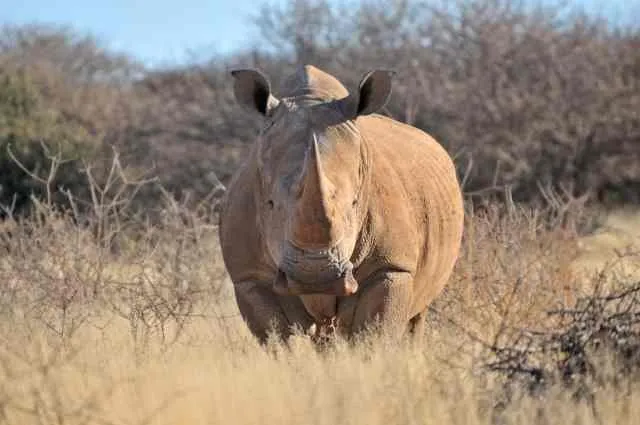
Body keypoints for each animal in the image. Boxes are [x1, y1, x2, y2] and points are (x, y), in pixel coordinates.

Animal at [219, 65, 464, 343]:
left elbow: (373, 336)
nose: (315, 278)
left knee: (417, 315)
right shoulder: (250, 277)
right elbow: (280, 338)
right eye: (269, 204)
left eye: (355, 203)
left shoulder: (391, 267)